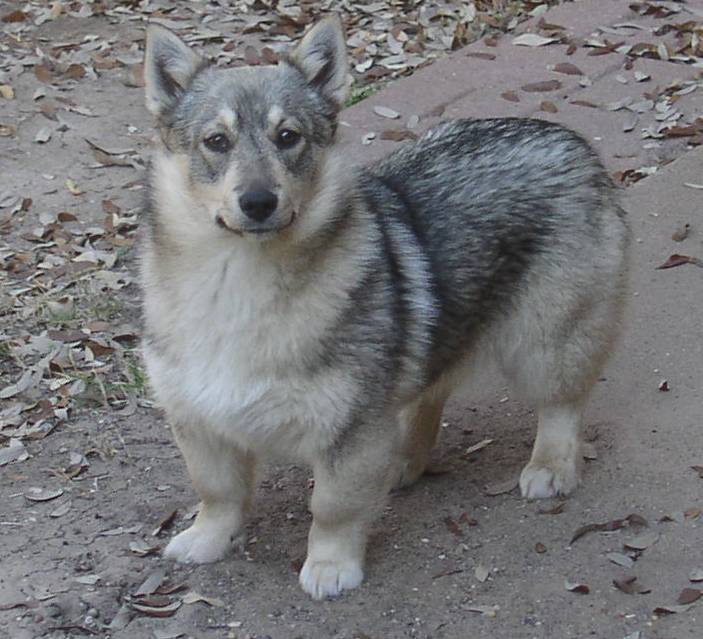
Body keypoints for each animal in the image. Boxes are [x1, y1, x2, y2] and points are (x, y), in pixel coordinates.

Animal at [140, 16, 629, 600]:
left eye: (288, 137)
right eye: (216, 141)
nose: (258, 202)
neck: (237, 280)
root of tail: (568, 139)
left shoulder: (348, 428)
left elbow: (331, 507)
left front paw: (331, 565)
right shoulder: (198, 420)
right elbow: (218, 493)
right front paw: (208, 540)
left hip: (546, 344)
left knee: (560, 406)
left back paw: (551, 466)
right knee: (427, 396)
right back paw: (403, 460)